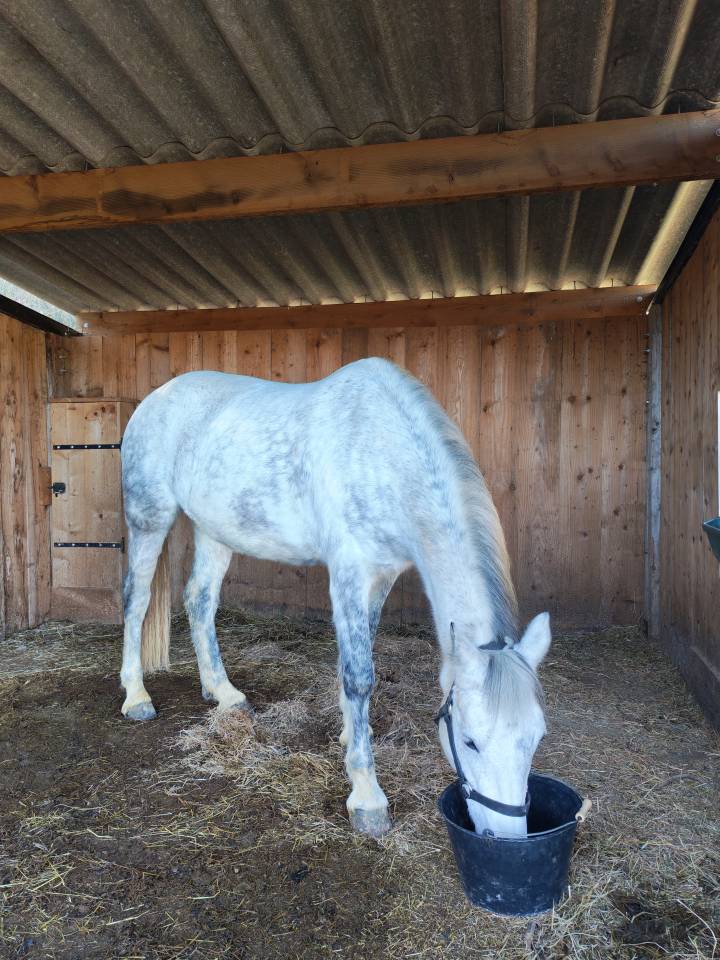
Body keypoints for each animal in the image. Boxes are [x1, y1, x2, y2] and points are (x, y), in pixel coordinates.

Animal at [119, 357, 550, 838]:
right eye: (471, 741)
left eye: (536, 737)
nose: (508, 837)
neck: (384, 452)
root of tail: (155, 399)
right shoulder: (349, 572)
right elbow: (359, 674)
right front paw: (367, 797)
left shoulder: (381, 576)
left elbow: (356, 656)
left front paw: (349, 735)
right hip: (149, 518)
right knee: (136, 600)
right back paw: (136, 697)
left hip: (215, 530)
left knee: (200, 600)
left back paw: (224, 692)